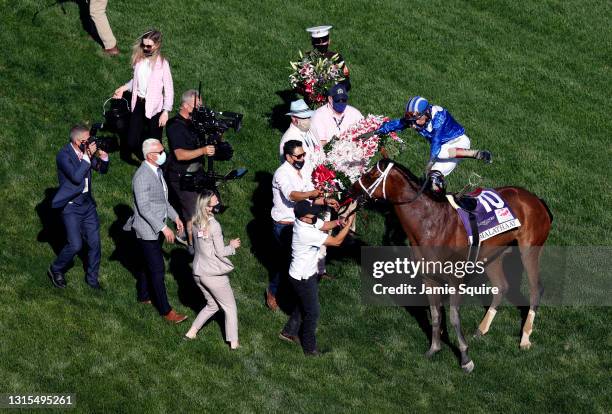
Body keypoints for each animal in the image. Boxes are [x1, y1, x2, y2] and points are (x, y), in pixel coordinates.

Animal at [350, 158, 556, 372]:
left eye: (372, 175)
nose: (352, 189)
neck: (429, 223)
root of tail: (537, 200)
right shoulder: (429, 278)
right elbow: (435, 315)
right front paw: (434, 348)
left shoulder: (455, 279)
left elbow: (454, 317)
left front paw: (465, 358)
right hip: (493, 254)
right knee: (501, 286)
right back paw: (482, 329)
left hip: (529, 250)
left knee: (535, 289)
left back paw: (525, 338)